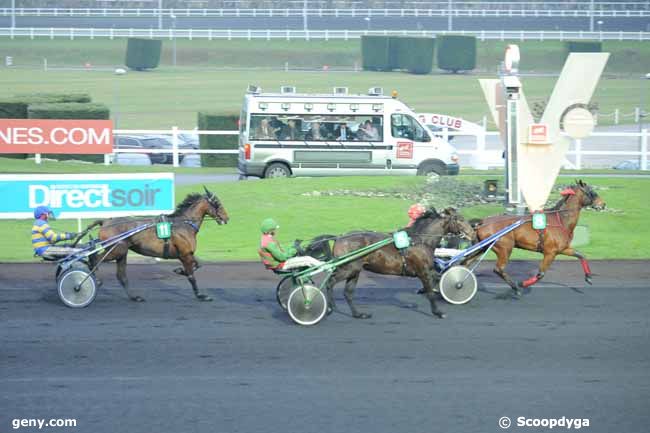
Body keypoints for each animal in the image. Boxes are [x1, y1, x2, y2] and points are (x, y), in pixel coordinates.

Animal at [84, 186, 228, 300]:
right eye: (218, 203)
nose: (226, 218)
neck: (184, 225)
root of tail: (106, 221)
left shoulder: (186, 254)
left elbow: (198, 265)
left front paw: (179, 270)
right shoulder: (185, 254)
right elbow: (192, 276)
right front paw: (200, 295)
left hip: (121, 252)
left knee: (121, 276)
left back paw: (134, 297)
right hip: (116, 250)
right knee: (94, 259)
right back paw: (95, 280)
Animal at [322, 208, 474, 318]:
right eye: (460, 219)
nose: (472, 233)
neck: (420, 240)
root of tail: (339, 238)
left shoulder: (429, 270)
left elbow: (440, 277)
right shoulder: (423, 271)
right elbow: (430, 292)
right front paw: (438, 312)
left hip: (355, 271)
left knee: (348, 292)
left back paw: (358, 314)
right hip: (348, 268)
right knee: (330, 282)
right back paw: (329, 308)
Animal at [474, 180, 604, 296]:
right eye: (592, 192)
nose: (603, 204)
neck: (561, 220)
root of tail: (483, 222)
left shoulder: (563, 249)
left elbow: (581, 255)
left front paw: (589, 277)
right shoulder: (550, 252)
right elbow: (540, 274)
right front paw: (522, 284)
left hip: (486, 247)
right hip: (505, 248)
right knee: (498, 269)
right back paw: (516, 288)